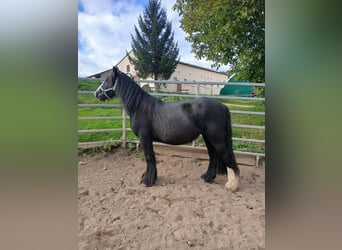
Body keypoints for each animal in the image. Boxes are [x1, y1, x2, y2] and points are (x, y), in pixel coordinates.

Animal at [93, 66, 240, 191]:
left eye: (107, 80)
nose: (96, 93)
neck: (140, 107)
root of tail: (222, 106)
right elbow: (151, 157)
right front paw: (152, 178)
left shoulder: (145, 138)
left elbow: (149, 157)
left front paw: (147, 181)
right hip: (207, 137)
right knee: (213, 156)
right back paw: (207, 178)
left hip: (216, 138)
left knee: (226, 156)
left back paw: (232, 185)